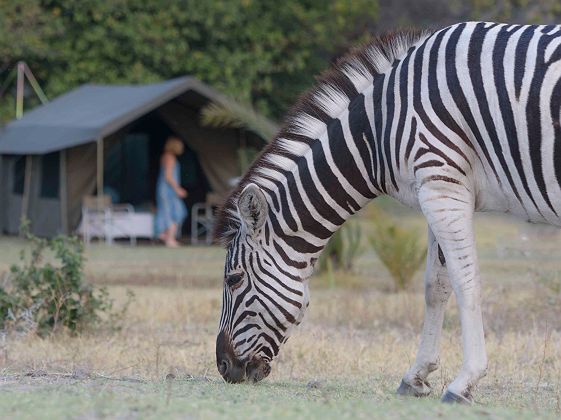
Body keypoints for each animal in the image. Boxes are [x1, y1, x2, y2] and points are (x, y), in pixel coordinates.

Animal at [213, 22, 560, 404]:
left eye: (233, 279)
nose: (224, 367)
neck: (379, 128)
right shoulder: (435, 188)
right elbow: (435, 285)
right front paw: (416, 377)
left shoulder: (442, 185)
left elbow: (465, 281)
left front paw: (464, 382)